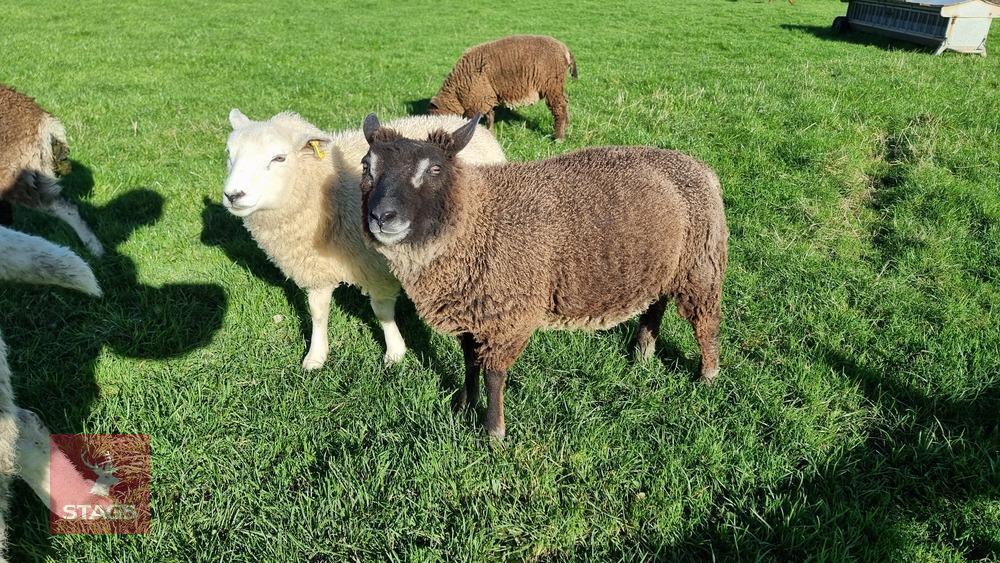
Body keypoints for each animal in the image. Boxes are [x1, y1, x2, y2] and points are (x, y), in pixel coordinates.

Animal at [223, 110, 506, 369]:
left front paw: (395, 352)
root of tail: (458, 119)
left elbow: (381, 311)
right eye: (229, 154)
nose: (233, 195)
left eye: (279, 158)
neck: (330, 193)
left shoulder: (377, 268)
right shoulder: (315, 268)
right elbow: (317, 312)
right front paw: (316, 356)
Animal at [360, 114, 728, 439]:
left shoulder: (509, 316)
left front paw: (493, 432)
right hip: (663, 264)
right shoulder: (473, 312)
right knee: (656, 304)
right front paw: (464, 405)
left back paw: (708, 375)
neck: (477, 221)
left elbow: (493, 374)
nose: (382, 217)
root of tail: (698, 166)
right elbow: (470, 363)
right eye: (367, 167)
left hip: (701, 262)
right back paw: (642, 353)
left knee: (706, 321)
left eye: (434, 169)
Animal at [428, 35, 577, 140]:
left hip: (551, 84)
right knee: (565, 103)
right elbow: (490, 116)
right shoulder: (485, 97)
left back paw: (558, 137)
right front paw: (490, 132)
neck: (457, 92)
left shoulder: (477, 100)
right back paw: (567, 127)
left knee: (559, 108)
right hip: (558, 85)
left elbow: (475, 120)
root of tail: (565, 50)